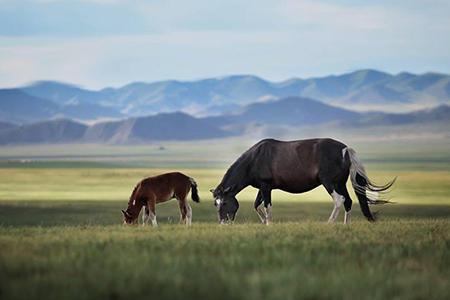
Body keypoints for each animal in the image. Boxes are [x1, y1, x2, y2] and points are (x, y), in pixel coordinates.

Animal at [211, 138, 394, 225]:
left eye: (225, 203)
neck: (255, 158)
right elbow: (256, 205)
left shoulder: (266, 187)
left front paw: (269, 224)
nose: (223, 223)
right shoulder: (262, 188)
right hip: (340, 183)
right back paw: (344, 225)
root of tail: (345, 149)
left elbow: (267, 206)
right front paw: (264, 222)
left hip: (329, 183)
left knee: (339, 200)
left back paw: (329, 223)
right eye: (215, 203)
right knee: (348, 201)